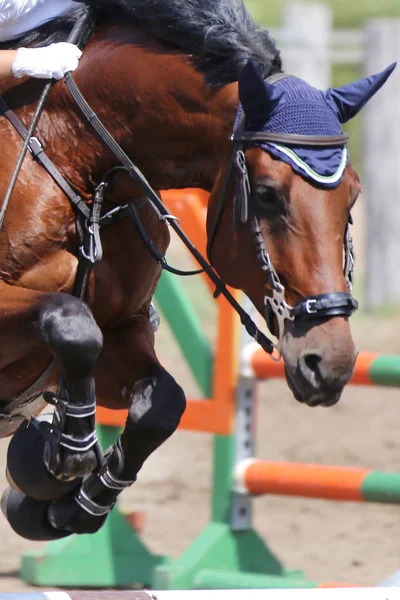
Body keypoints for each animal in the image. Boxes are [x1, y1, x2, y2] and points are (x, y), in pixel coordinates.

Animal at [0, 0, 394, 536]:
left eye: (352, 194)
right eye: (266, 194)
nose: (329, 364)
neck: (75, 157)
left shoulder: (121, 330)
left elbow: (163, 403)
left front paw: (71, 503)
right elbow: (70, 320)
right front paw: (70, 453)